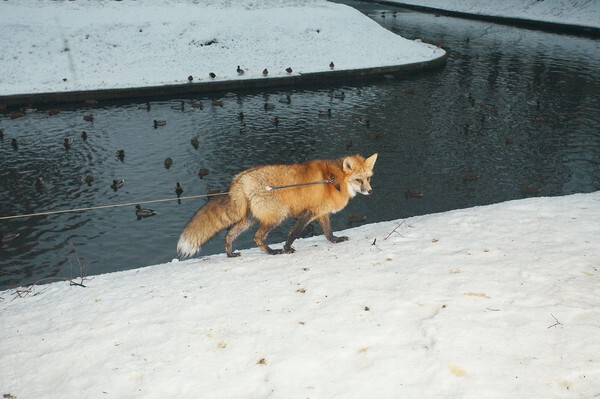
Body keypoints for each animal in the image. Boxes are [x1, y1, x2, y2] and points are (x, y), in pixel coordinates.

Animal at [176, 153, 378, 260]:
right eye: (358, 180)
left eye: (368, 178)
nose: (370, 191)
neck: (334, 180)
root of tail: (241, 179)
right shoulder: (308, 214)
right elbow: (294, 234)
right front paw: (287, 249)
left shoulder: (321, 213)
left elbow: (328, 233)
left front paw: (336, 240)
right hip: (276, 216)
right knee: (257, 237)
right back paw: (272, 252)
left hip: (250, 219)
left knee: (229, 235)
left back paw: (230, 254)